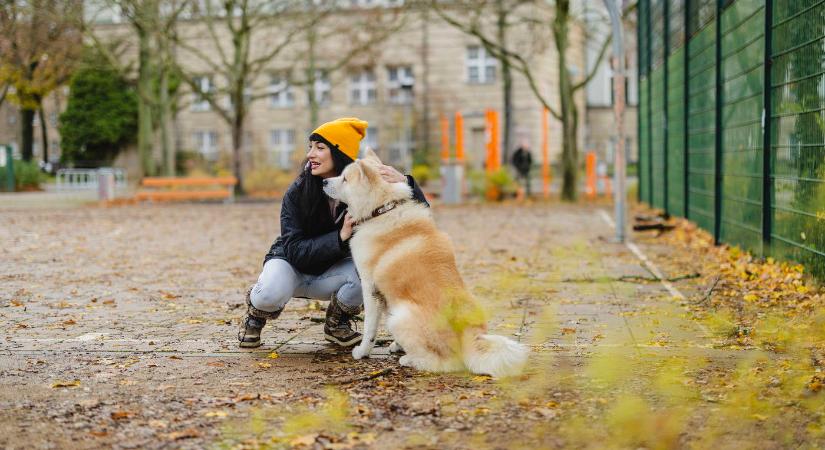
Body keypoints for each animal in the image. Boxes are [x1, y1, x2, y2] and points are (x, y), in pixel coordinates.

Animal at [322, 149, 528, 378]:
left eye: (345, 178)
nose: (323, 181)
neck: (383, 210)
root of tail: (469, 337)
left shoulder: (370, 288)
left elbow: (370, 328)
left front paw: (362, 352)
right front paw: (395, 345)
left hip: (399, 316)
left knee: (444, 363)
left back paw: (409, 359)